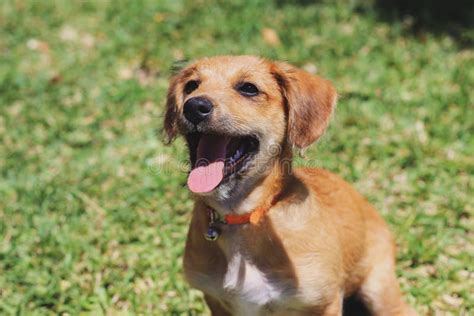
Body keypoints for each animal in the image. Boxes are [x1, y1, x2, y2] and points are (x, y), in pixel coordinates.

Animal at [164, 55, 414, 314]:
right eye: (191, 86)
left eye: (248, 88)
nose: (193, 106)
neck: (244, 217)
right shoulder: (216, 301)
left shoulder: (325, 303)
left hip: (379, 291)